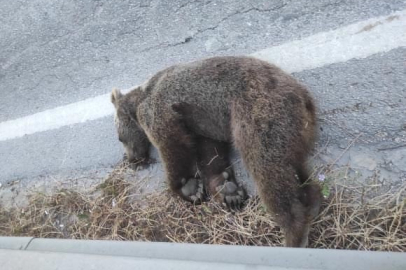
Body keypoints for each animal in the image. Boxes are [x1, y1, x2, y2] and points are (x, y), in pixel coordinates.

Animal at [109, 55, 322, 247]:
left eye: (120, 138)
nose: (133, 159)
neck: (139, 100)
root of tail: (305, 98)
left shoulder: (160, 111)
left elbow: (173, 144)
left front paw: (188, 187)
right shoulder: (204, 125)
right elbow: (211, 152)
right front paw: (227, 189)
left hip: (260, 112)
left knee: (267, 168)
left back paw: (293, 233)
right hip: (294, 131)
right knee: (296, 167)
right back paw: (312, 202)